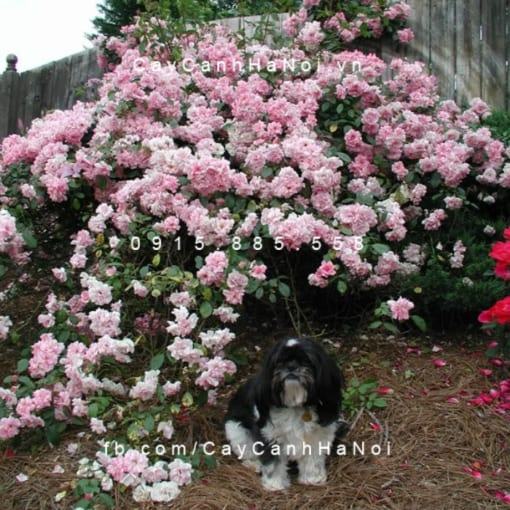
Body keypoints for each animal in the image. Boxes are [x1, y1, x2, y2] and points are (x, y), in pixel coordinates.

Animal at [225, 338, 344, 490]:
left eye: (306, 361)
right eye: (279, 362)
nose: (291, 366)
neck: (295, 405)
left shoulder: (318, 435)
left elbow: (313, 458)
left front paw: (313, 478)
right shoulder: (269, 435)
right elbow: (273, 462)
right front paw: (275, 484)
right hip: (235, 430)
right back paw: (254, 464)